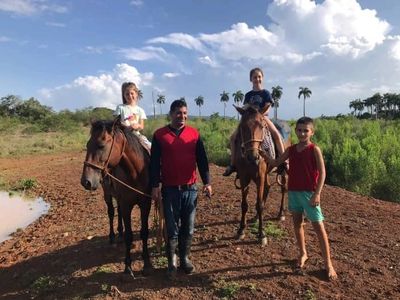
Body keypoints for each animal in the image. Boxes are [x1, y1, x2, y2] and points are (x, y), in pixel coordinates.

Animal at [233, 105, 290, 246]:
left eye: (261, 126)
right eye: (242, 126)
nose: (253, 157)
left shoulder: (260, 177)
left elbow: (260, 205)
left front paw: (262, 234)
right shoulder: (244, 178)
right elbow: (244, 204)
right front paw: (241, 230)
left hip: (282, 171)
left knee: (283, 188)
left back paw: (281, 213)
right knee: (268, 187)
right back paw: (255, 218)